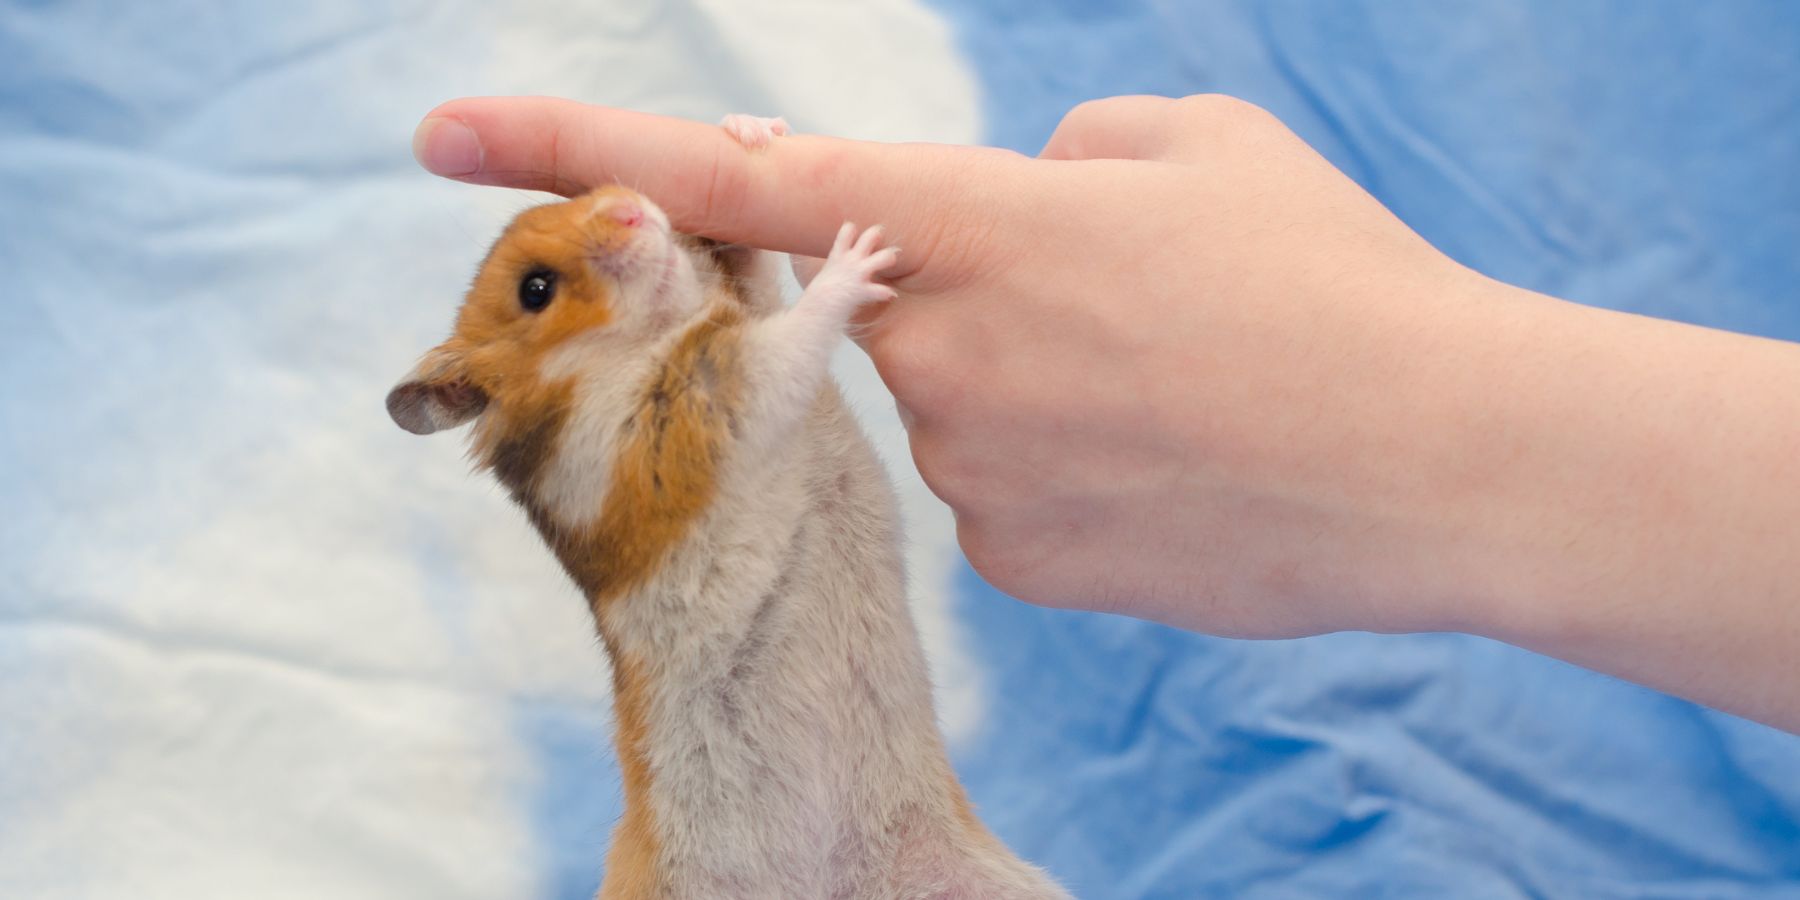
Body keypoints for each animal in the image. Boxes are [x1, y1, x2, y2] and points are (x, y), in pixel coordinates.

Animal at [388, 115, 1067, 900]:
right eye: (535, 289)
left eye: (586, 197)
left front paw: (749, 132)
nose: (632, 210)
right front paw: (856, 256)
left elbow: (759, 274)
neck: (634, 343)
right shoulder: (707, 405)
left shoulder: (745, 320)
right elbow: (787, 340)